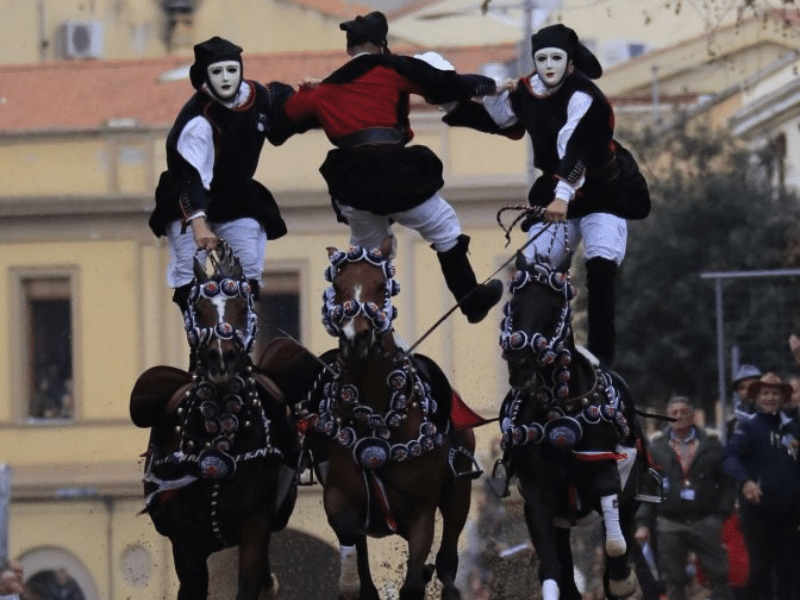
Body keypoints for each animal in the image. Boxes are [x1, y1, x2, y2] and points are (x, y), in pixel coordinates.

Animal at [131, 241, 300, 600]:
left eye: (242, 307)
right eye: (198, 309)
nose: (221, 356)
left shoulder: (255, 526)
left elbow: (250, 584)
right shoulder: (185, 542)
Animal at [300, 234, 482, 600]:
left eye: (382, 286)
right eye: (337, 286)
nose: (356, 338)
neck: (378, 419)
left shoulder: (422, 511)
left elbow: (414, 580)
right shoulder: (339, 498)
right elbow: (349, 535)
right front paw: (350, 581)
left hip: (459, 494)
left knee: (447, 558)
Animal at [494, 252, 656, 600]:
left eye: (555, 305)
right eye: (514, 303)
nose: (520, 363)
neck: (560, 408)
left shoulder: (606, 467)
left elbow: (615, 545)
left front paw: (623, 580)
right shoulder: (537, 495)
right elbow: (551, 569)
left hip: (629, 501)